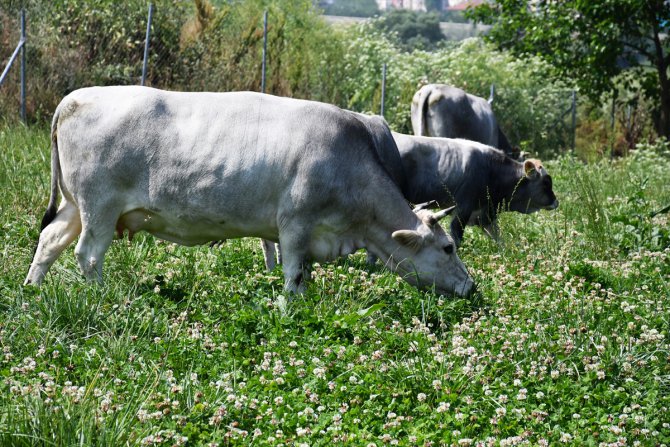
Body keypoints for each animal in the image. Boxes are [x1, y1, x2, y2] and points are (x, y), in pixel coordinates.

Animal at [26, 86, 476, 298]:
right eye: (448, 248)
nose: (471, 287)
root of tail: (77, 97)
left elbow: (304, 275)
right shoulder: (295, 225)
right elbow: (293, 276)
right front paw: (292, 310)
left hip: (74, 205)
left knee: (49, 240)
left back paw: (32, 289)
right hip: (99, 206)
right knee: (88, 254)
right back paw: (103, 296)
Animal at [396, 133, 560, 247]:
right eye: (546, 182)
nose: (556, 201)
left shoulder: (484, 213)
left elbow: (498, 238)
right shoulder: (463, 208)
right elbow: (456, 236)